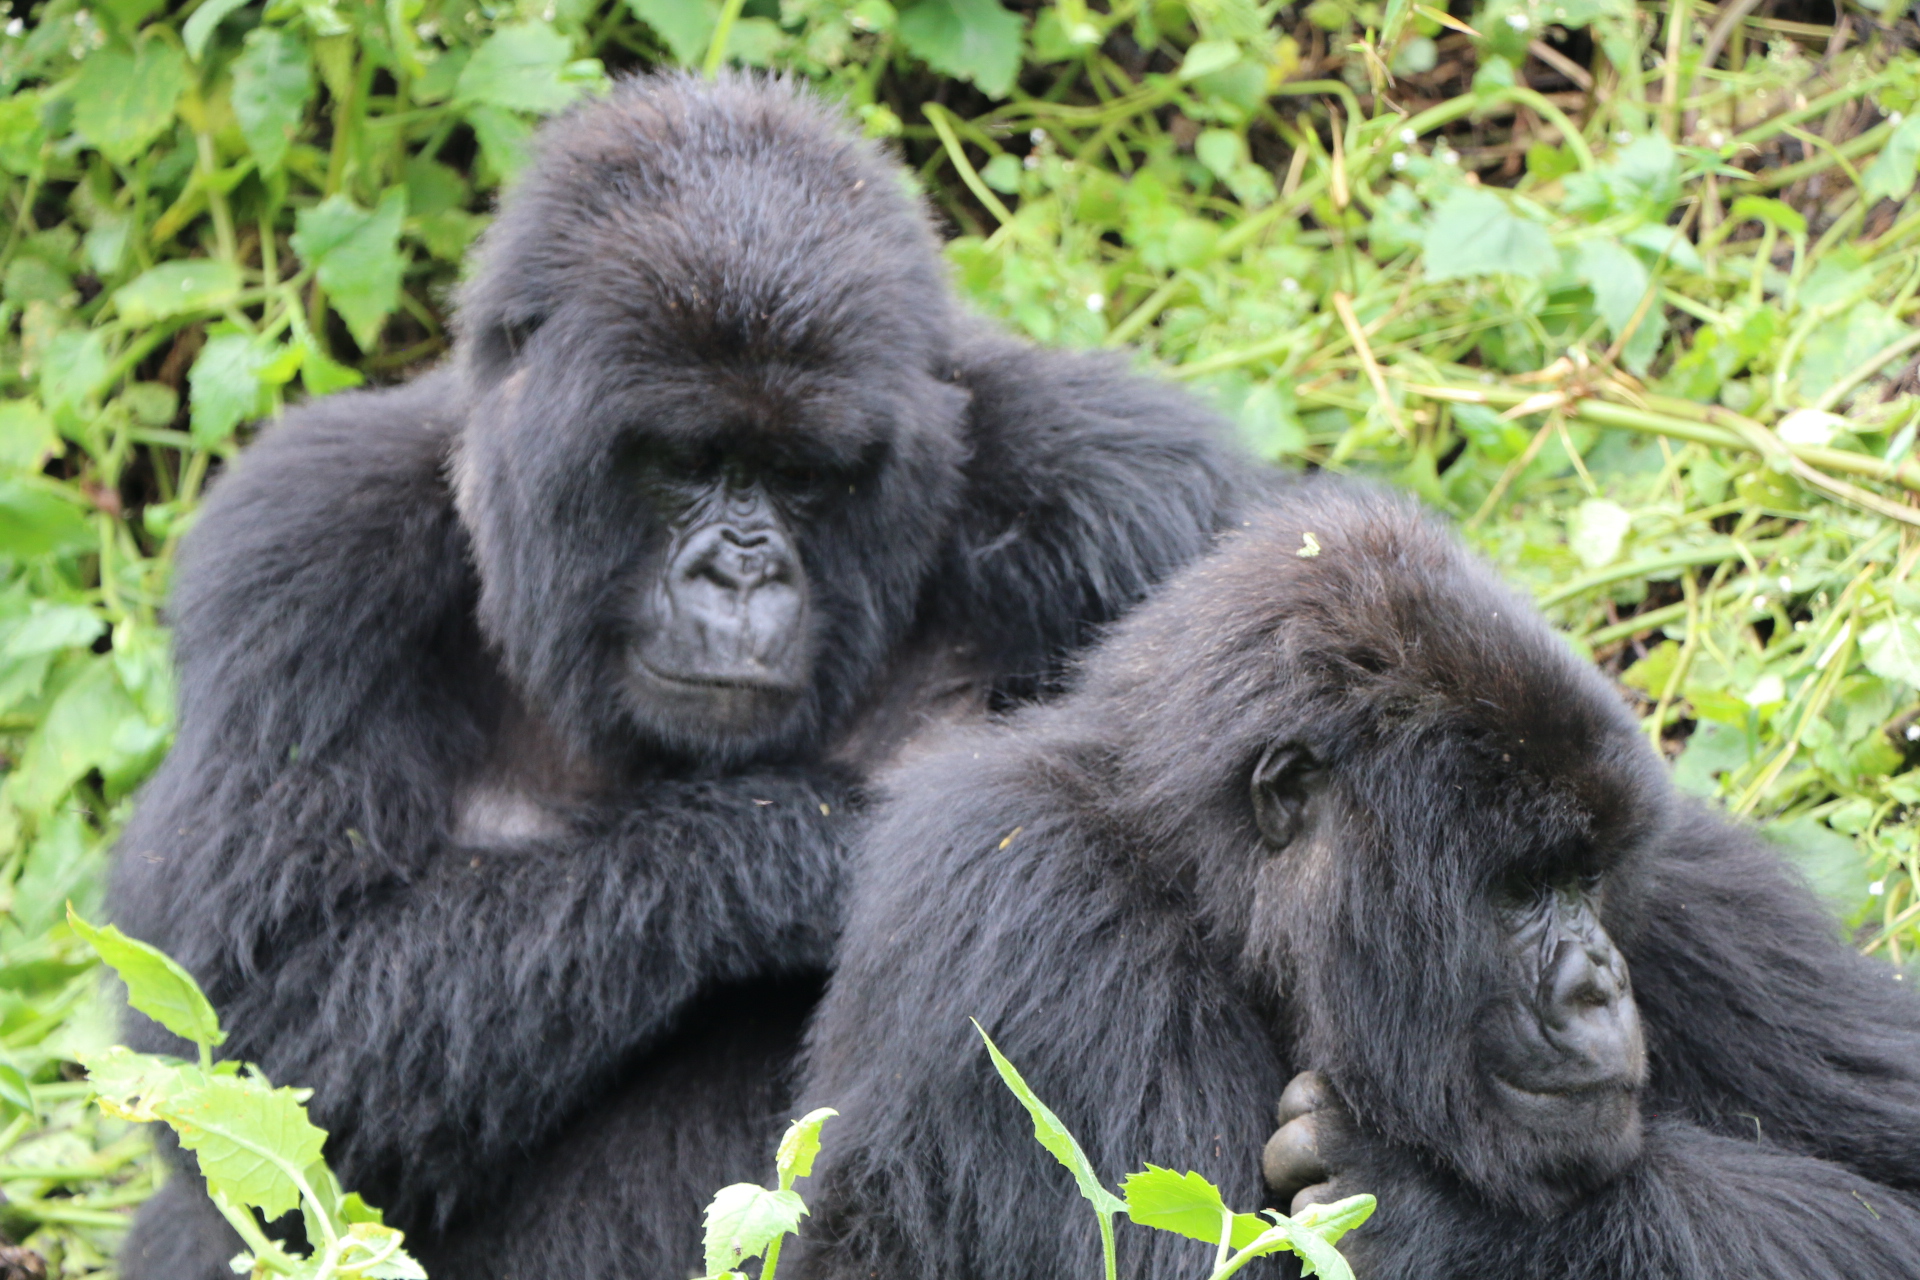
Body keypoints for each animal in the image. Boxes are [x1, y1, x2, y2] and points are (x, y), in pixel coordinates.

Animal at [108, 72, 1244, 1280]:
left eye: (802, 477)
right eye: (688, 462)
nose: (740, 573)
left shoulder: (1135, 490)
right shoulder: (303, 549)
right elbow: (246, 1025)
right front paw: (817, 847)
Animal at [798, 477, 1920, 1280]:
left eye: (1588, 880)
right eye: (1520, 889)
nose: (1601, 986)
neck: (1204, 880)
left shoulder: (1700, 885)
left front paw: (1451, 1223)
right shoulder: (1036, 900)